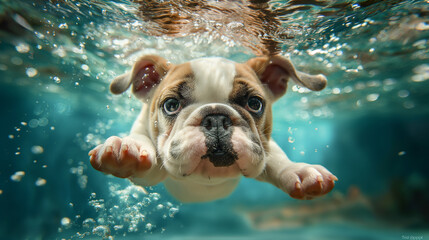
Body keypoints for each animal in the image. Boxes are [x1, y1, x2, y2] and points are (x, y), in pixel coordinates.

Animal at [88, 54, 336, 202]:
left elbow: (277, 159)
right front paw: (126, 146)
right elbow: (142, 145)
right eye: (171, 105)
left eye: (255, 103)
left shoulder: (261, 146)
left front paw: (299, 171)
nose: (216, 119)